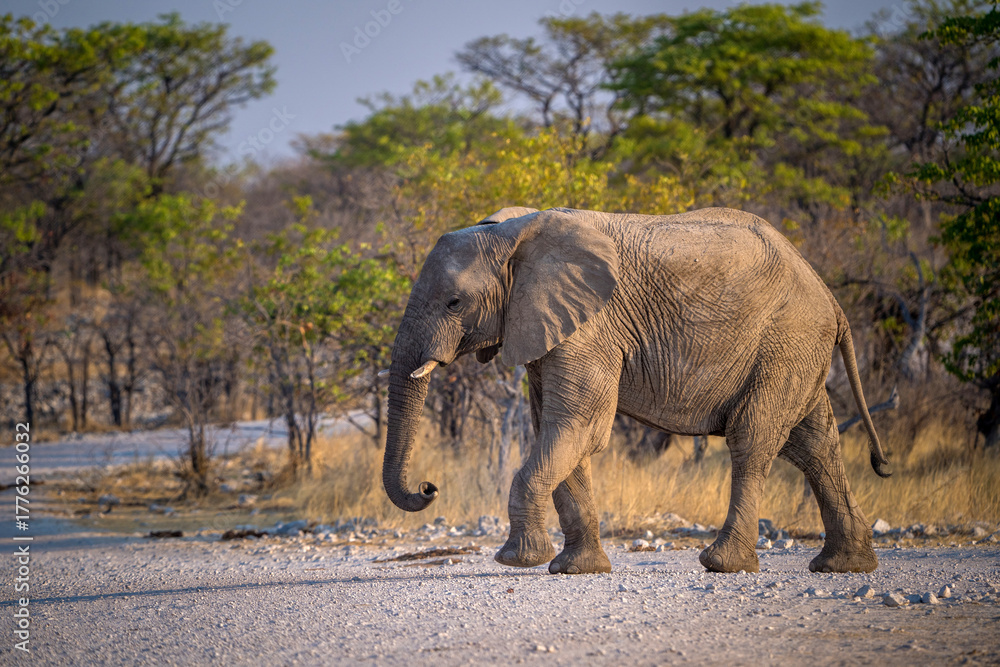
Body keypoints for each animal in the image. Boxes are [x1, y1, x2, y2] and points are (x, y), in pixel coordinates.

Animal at [381, 206, 891, 575]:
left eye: (454, 302)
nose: (429, 486)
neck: (513, 233)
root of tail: (831, 298)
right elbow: (560, 432)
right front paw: (576, 570)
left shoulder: (591, 327)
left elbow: (578, 427)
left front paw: (518, 560)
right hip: (797, 349)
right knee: (815, 444)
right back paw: (843, 566)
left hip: (786, 340)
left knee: (754, 438)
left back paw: (723, 565)